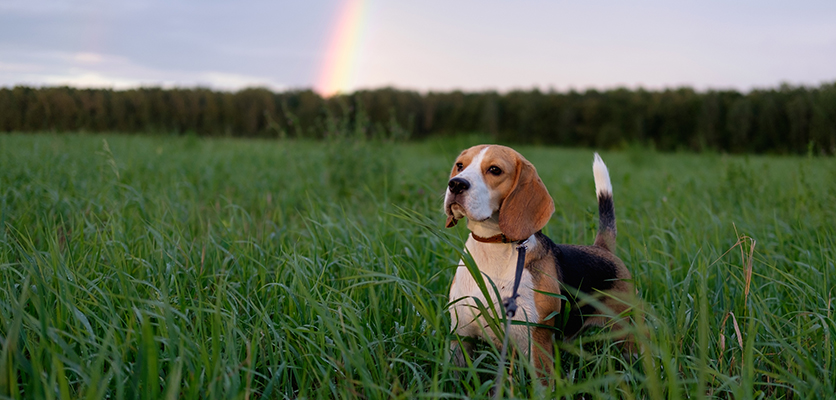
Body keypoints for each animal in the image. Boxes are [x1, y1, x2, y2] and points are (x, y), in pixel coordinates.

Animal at [444, 145, 632, 376]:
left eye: (495, 170)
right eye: (460, 165)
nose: (456, 184)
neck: (493, 248)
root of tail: (602, 248)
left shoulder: (538, 344)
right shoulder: (460, 336)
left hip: (627, 335)